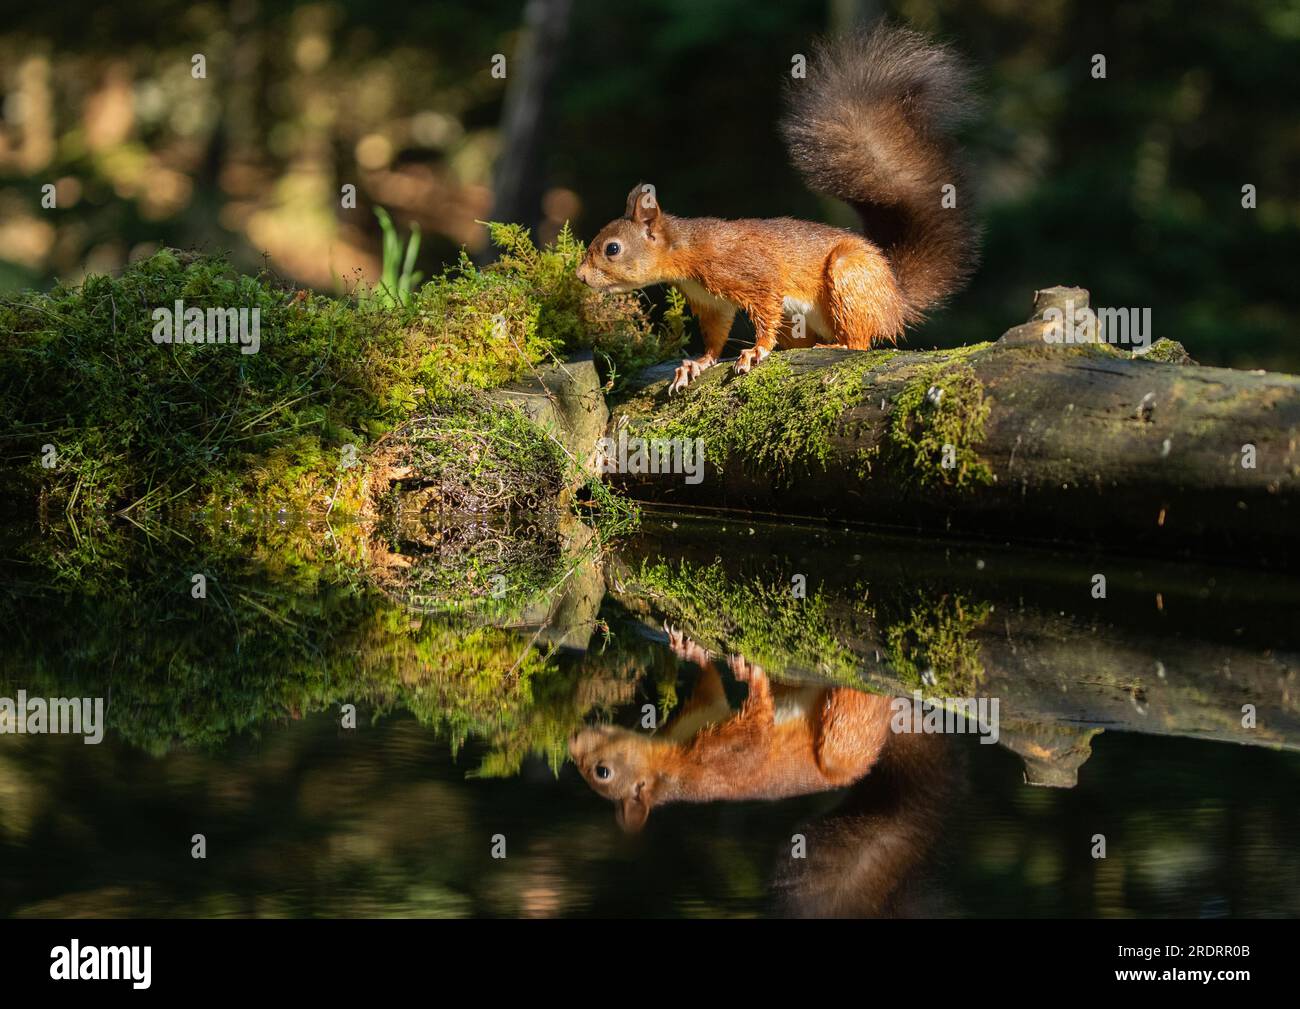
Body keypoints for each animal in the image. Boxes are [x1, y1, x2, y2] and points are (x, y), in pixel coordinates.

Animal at [569, 626, 894, 832]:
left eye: (602, 771)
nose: (572, 738)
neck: (671, 755)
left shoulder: (707, 722)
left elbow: (716, 692)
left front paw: (689, 650)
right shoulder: (725, 756)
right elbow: (755, 726)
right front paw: (750, 676)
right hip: (839, 750)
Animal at [574, 22, 977, 395]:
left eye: (612, 248)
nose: (580, 276)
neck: (688, 251)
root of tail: (895, 299)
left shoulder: (752, 274)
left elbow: (765, 311)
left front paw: (756, 351)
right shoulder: (711, 302)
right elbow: (716, 335)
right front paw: (697, 364)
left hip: (850, 277)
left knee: (861, 341)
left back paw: (839, 344)